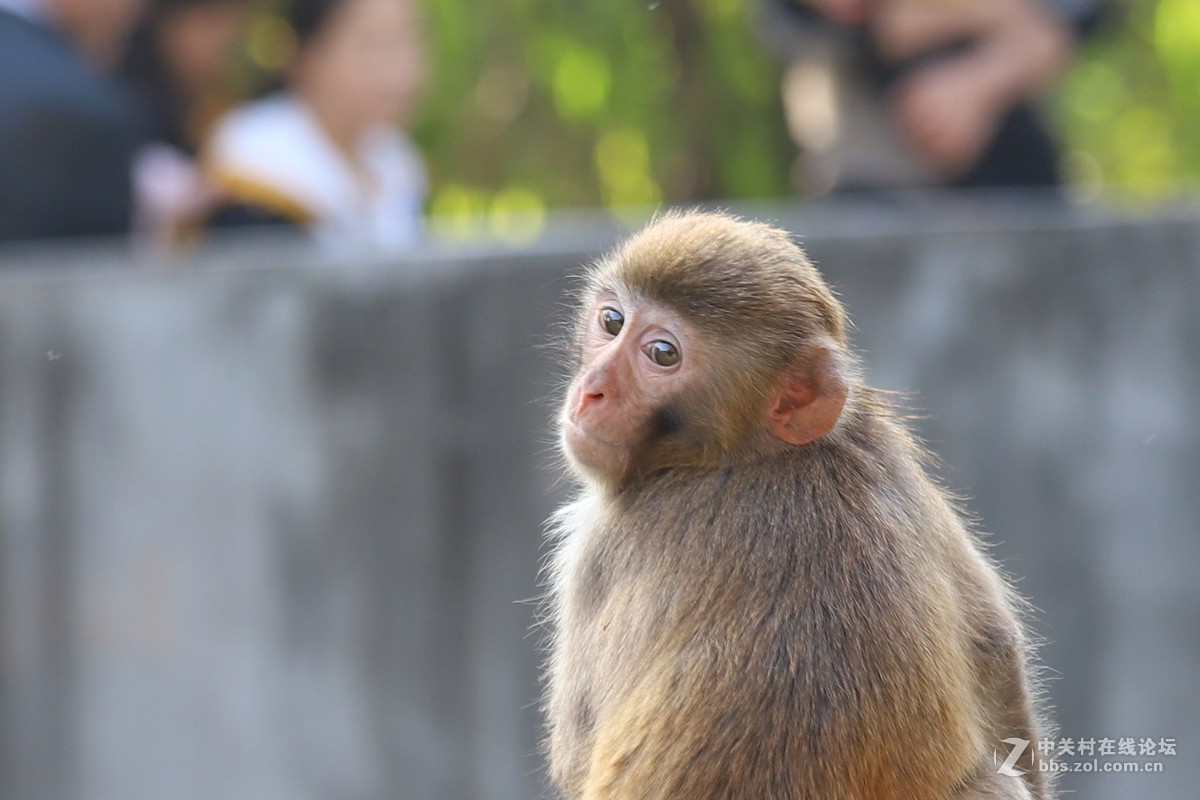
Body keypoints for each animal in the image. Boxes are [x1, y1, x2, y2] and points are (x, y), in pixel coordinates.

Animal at [542, 211, 1051, 800]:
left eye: (662, 354)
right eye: (612, 320)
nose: (592, 391)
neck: (755, 453)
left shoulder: (601, 548)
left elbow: (576, 752)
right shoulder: (887, 459)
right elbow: (997, 647)